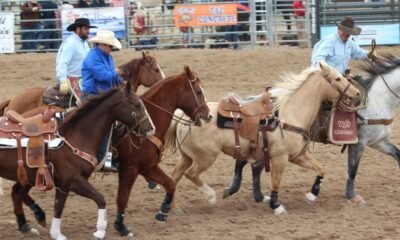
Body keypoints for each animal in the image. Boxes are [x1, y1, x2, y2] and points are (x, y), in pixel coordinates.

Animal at [0, 85, 155, 239]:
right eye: (137, 104)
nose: (151, 128)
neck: (75, 135)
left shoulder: (64, 185)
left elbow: (59, 207)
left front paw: (56, 233)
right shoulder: (73, 180)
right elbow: (100, 199)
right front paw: (100, 230)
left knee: (16, 192)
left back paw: (26, 224)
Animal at [112, 65, 212, 236]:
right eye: (198, 91)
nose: (209, 115)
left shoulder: (148, 167)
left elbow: (170, 183)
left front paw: (163, 212)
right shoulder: (130, 169)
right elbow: (122, 198)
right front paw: (121, 226)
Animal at [225, 54, 400, 206]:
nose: (355, 95)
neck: (378, 101)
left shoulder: (380, 141)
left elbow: (397, 155)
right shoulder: (359, 143)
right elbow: (352, 170)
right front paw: (352, 196)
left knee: (254, 166)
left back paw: (257, 195)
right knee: (248, 163)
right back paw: (237, 189)